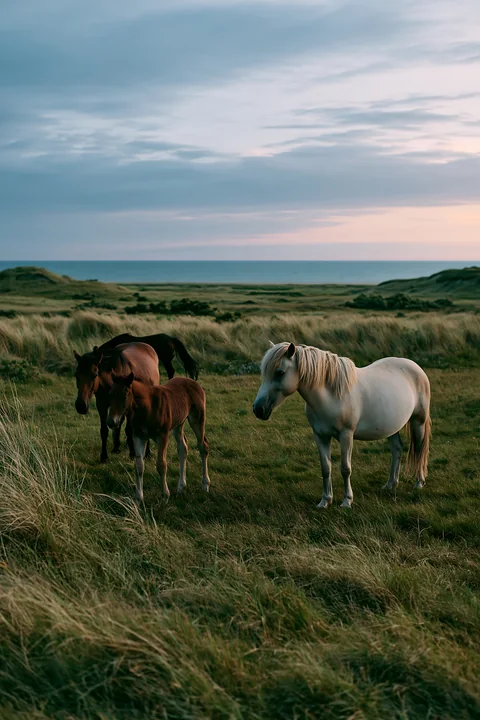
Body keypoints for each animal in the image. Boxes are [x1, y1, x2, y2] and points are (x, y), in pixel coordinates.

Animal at [106, 373, 210, 504]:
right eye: (110, 394)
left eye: (124, 396)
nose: (111, 422)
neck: (148, 407)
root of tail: (194, 382)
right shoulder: (138, 436)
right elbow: (139, 465)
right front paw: (139, 497)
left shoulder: (162, 436)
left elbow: (161, 464)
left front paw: (165, 494)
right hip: (178, 423)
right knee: (183, 448)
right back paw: (181, 486)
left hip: (197, 419)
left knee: (203, 446)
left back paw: (205, 484)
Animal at [253, 342, 431, 508]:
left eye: (280, 372)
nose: (258, 409)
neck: (331, 395)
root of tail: (415, 367)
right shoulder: (320, 436)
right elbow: (326, 468)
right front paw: (325, 500)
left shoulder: (346, 435)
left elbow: (345, 468)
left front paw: (347, 501)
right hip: (391, 427)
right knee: (396, 449)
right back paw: (390, 484)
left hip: (418, 421)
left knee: (419, 449)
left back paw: (419, 483)